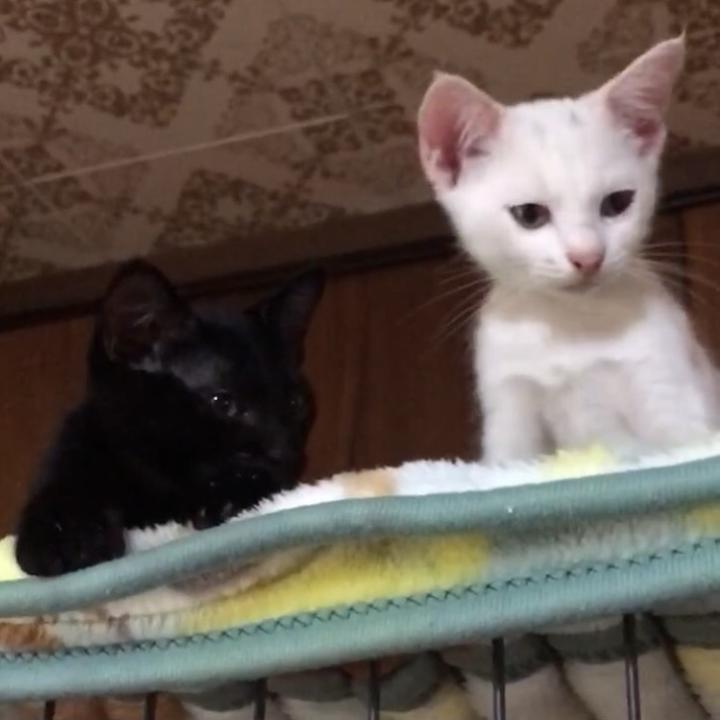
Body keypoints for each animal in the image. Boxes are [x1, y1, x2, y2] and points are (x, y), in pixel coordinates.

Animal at [15, 260, 324, 577]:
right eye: (222, 402)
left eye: (295, 404)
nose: (284, 452)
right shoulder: (70, 450)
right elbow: (63, 491)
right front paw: (66, 536)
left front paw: (233, 497)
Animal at [417, 35, 720, 463]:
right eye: (529, 214)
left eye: (617, 203)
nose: (588, 257)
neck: (570, 325)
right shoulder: (510, 402)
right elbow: (508, 461)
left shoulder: (666, 381)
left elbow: (680, 445)